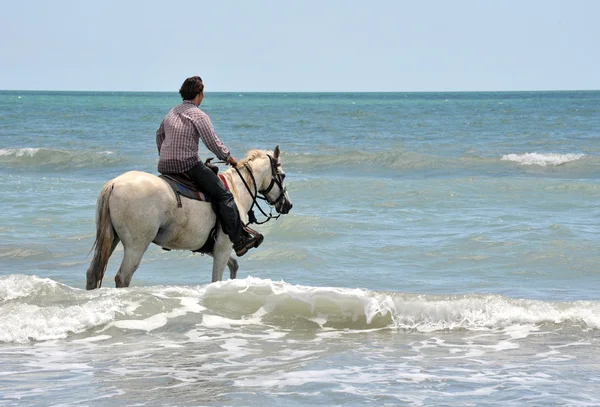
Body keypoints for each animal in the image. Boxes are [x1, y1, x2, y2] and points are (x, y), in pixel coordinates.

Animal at [85, 147, 292, 290]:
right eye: (282, 175)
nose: (288, 205)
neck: (237, 190)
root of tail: (113, 184)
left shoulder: (211, 247)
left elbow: (234, 265)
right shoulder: (223, 248)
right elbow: (217, 278)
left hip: (112, 238)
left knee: (92, 274)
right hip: (136, 246)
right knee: (123, 277)